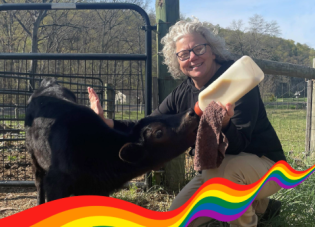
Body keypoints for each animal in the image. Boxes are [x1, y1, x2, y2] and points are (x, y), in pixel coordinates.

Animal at [25, 78, 200, 206]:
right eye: (158, 132)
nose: (191, 112)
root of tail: (48, 83)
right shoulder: (55, 184)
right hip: (34, 157)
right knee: (38, 181)